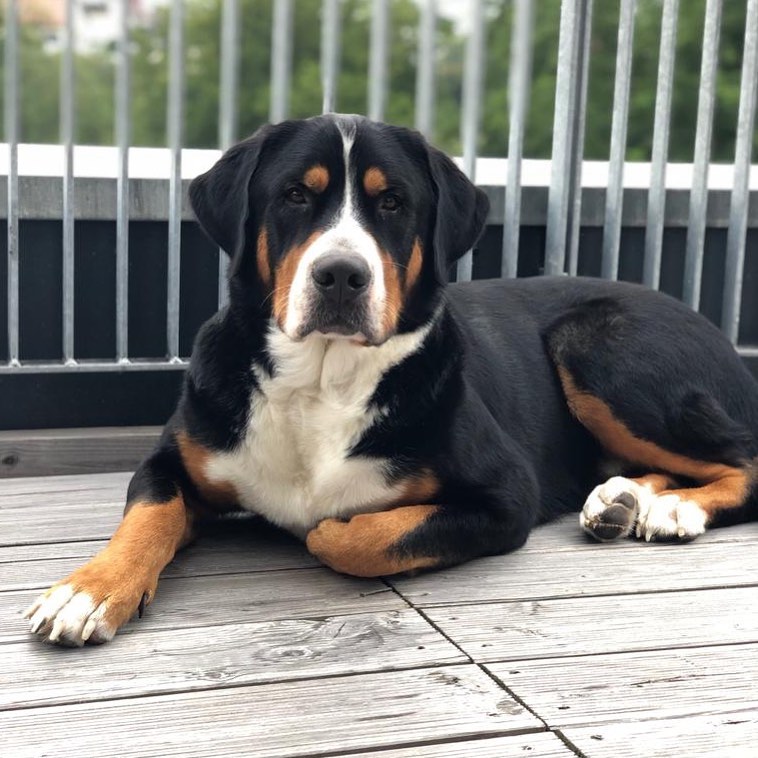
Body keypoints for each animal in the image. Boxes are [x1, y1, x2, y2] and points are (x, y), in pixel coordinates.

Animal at [23, 114, 758, 648]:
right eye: (295, 195)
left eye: (393, 203)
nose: (341, 275)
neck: (321, 379)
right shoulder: (175, 458)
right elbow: (148, 517)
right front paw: (91, 589)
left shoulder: (505, 495)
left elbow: (347, 534)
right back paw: (622, 499)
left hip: (596, 344)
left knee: (742, 459)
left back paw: (673, 508)